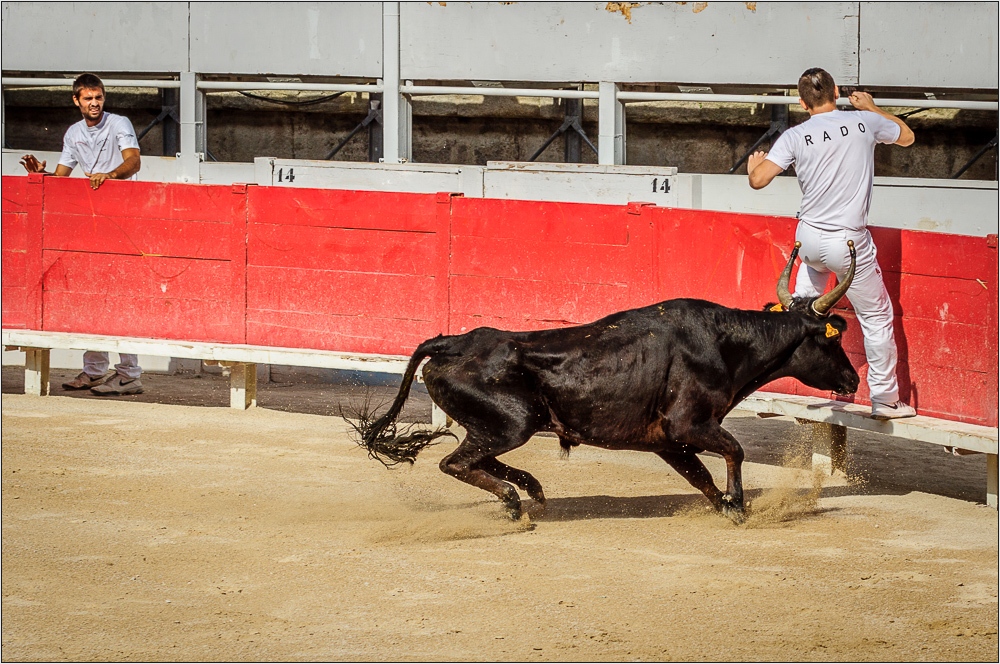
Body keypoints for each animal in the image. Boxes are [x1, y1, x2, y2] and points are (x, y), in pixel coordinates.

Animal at [354, 241, 860, 520]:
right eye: (832, 340)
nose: (853, 379)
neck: (724, 343)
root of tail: (455, 341)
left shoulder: (669, 442)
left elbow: (700, 477)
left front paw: (726, 505)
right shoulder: (689, 426)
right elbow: (734, 451)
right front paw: (738, 504)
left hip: (499, 425)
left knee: (477, 458)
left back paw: (531, 489)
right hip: (514, 422)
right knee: (456, 463)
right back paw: (515, 500)